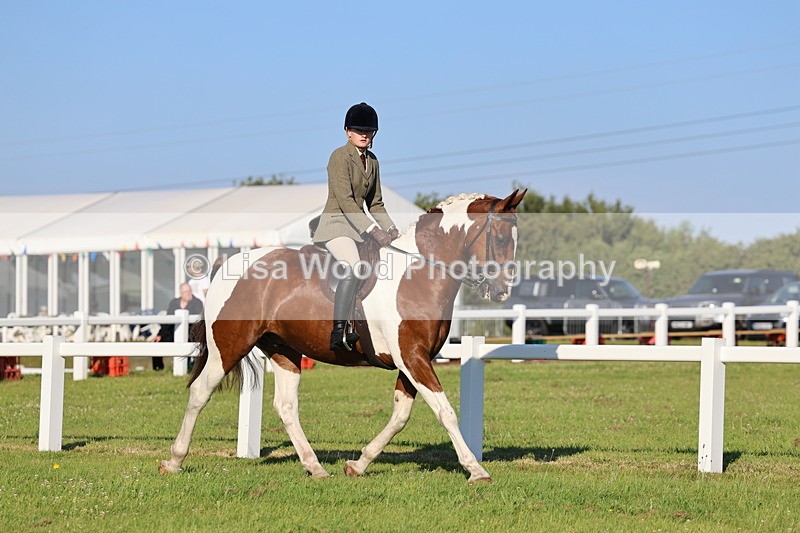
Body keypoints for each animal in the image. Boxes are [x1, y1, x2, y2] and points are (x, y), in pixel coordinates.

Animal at [159, 189, 527, 483]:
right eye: (501, 238)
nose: (502, 292)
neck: (418, 274)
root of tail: (227, 263)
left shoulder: (412, 360)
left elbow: (400, 416)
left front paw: (359, 464)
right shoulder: (412, 357)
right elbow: (445, 411)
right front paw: (475, 470)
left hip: (284, 350)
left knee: (286, 406)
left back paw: (316, 468)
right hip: (229, 346)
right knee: (200, 393)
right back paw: (174, 460)